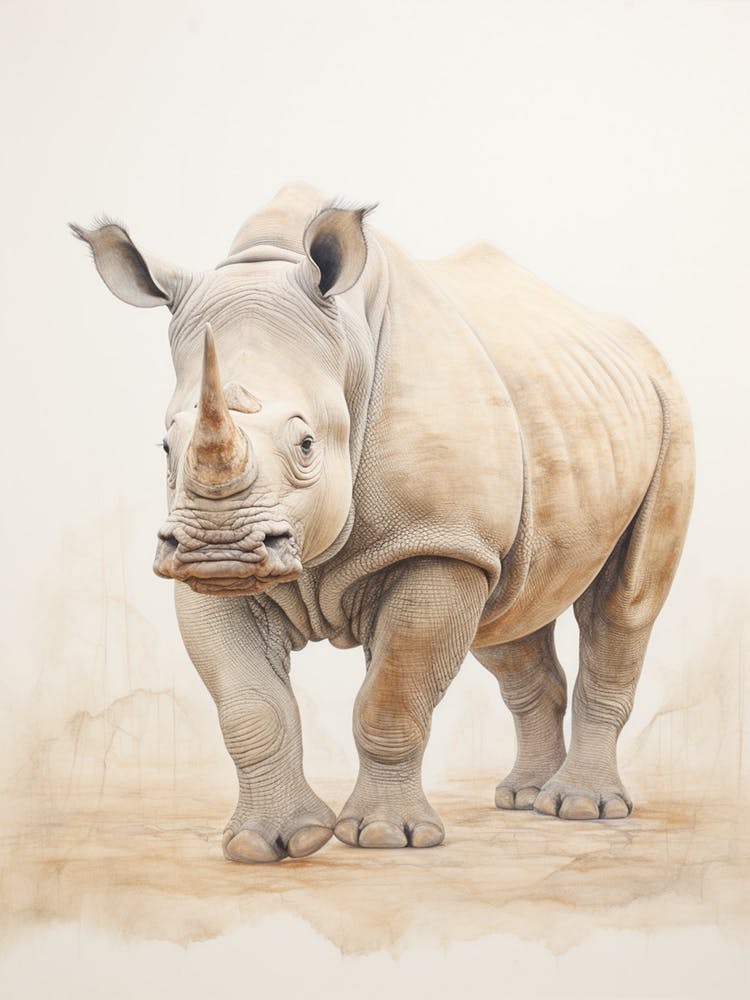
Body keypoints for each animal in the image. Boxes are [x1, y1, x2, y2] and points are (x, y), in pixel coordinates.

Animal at [72, 182, 694, 863]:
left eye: (307, 445)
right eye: (165, 446)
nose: (219, 551)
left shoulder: (436, 543)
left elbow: (392, 698)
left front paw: (384, 837)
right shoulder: (202, 572)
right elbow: (251, 707)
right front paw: (269, 844)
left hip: (669, 405)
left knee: (623, 606)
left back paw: (582, 808)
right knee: (508, 616)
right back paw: (523, 798)